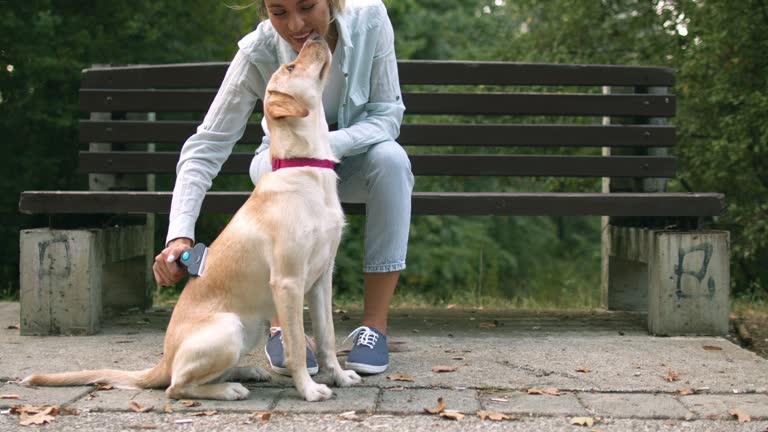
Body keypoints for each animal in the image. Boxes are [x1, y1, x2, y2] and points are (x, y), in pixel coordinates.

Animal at [21, 35, 364, 404]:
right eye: (290, 66)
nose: (315, 36)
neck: (305, 167)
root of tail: (164, 360)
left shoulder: (321, 279)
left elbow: (327, 337)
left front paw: (339, 376)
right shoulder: (288, 281)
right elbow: (297, 345)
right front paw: (309, 389)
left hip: (250, 328)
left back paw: (247, 371)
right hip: (229, 328)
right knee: (177, 385)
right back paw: (229, 388)